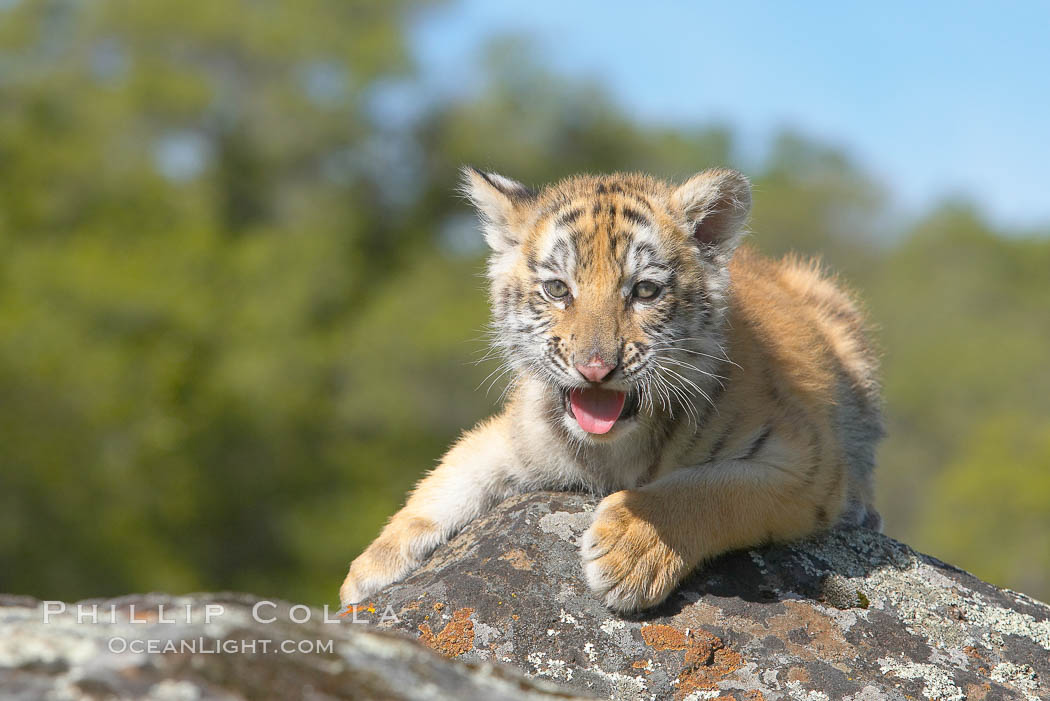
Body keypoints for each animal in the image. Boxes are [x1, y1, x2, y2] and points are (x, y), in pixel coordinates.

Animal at [340, 167, 884, 613]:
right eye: (557, 289)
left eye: (644, 290)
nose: (596, 368)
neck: (613, 448)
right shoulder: (517, 437)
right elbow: (449, 475)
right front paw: (366, 570)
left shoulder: (808, 461)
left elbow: (709, 489)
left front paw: (630, 554)